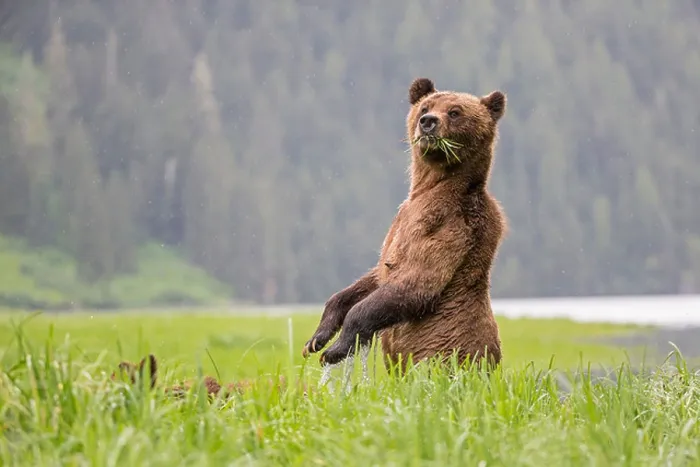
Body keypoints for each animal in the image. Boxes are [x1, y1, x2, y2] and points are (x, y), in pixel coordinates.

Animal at [302, 77, 508, 373]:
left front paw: (337, 348)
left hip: (446, 356)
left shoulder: (446, 223)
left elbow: (416, 280)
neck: (430, 186)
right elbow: (374, 276)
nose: (428, 122)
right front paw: (317, 339)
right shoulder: (403, 219)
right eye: (425, 107)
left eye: (455, 112)